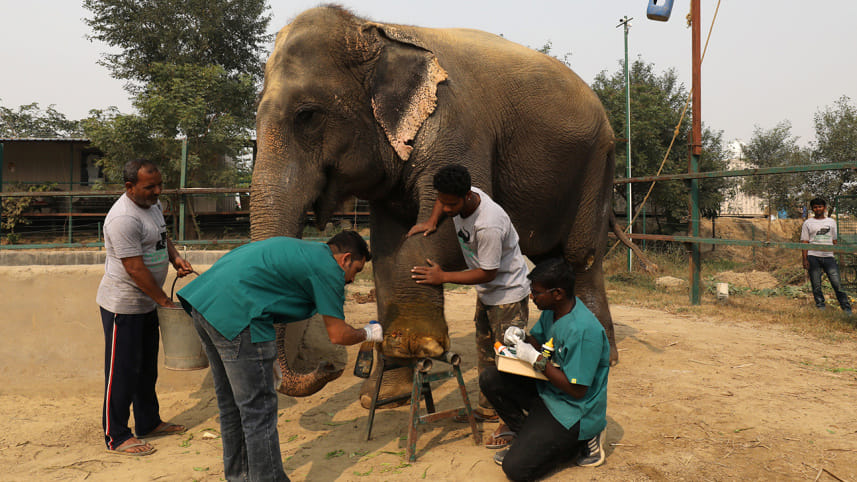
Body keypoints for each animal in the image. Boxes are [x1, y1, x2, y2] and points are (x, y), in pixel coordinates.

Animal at [251, 6, 623, 401]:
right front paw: (385, 392)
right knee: (550, 256)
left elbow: (441, 234)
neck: (377, 33)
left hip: (597, 164)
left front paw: (417, 343)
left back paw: (603, 357)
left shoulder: (456, 125)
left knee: (581, 256)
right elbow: (387, 249)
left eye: (306, 115)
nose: (329, 368)